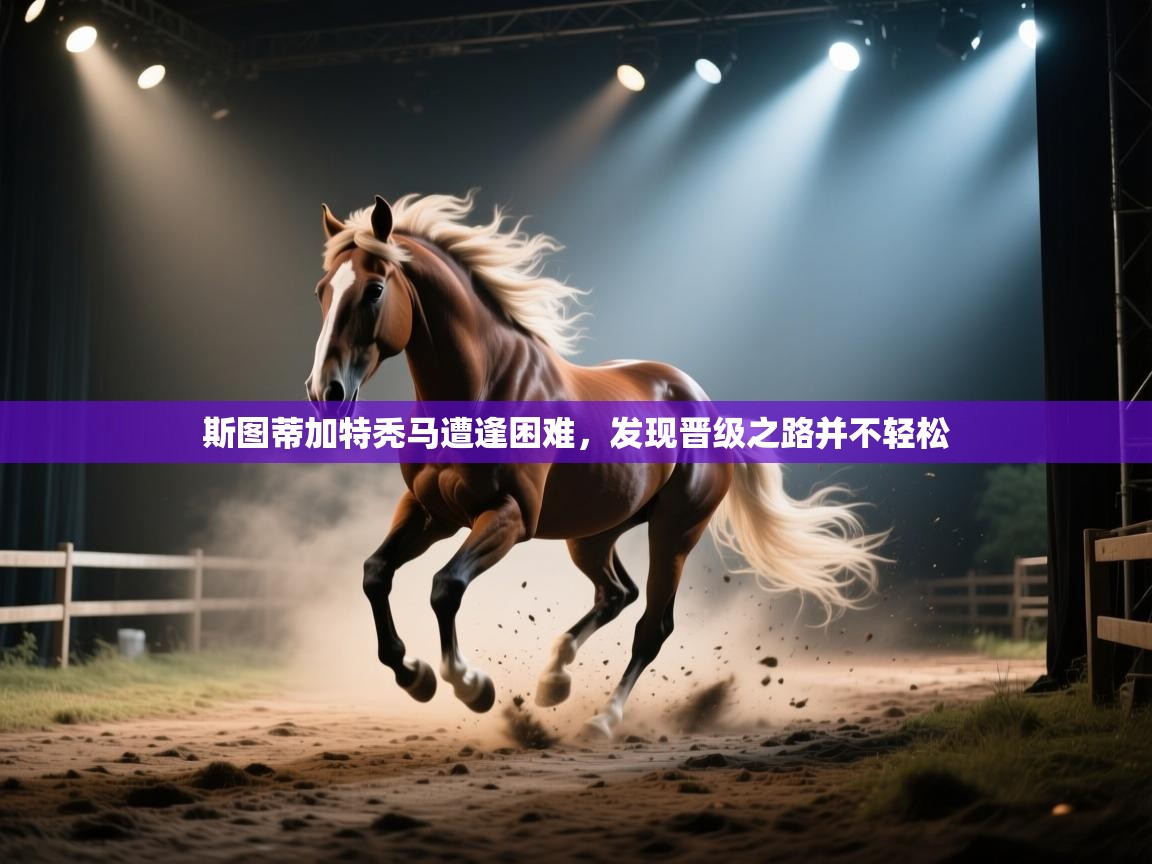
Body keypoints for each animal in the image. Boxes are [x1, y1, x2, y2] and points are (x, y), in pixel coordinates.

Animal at [305, 191, 886, 737]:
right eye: (322, 290)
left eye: (374, 290)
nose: (324, 391)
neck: (483, 389)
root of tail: (702, 400)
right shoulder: (431, 512)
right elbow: (376, 574)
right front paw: (415, 675)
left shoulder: (508, 518)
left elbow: (445, 587)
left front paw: (471, 685)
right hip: (593, 533)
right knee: (615, 593)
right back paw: (554, 679)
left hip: (675, 532)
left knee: (652, 625)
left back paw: (602, 719)